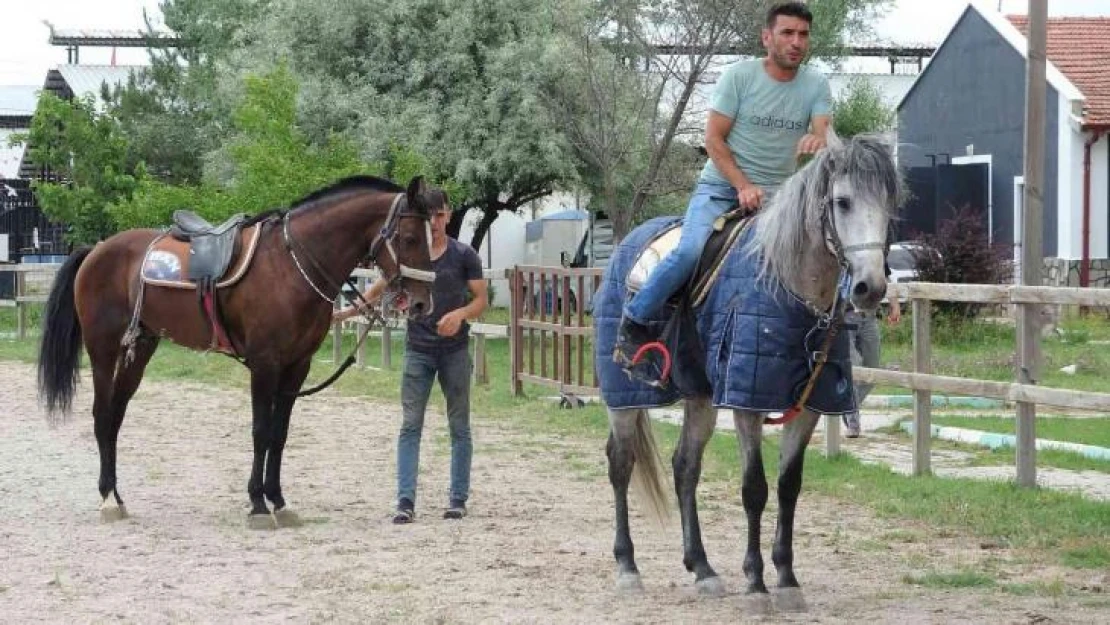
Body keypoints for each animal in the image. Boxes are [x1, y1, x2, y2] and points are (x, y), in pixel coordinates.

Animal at [35, 172, 432, 528]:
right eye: (410, 237)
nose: (420, 304)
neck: (291, 265)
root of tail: (97, 250)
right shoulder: (265, 364)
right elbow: (260, 431)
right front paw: (257, 504)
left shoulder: (296, 366)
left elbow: (279, 434)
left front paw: (279, 501)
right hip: (102, 350)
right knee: (102, 415)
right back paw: (106, 500)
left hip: (141, 347)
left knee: (116, 416)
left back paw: (117, 496)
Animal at [594, 132, 896, 608]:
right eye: (843, 202)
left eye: (888, 205)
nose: (870, 288)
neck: (786, 285)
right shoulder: (745, 401)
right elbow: (755, 488)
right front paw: (755, 583)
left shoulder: (809, 407)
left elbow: (789, 487)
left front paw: (787, 579)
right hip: (623, 398)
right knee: (621, 463)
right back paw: (628, 567)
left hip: (699, 396)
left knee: (685, 467)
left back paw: (702, 568)